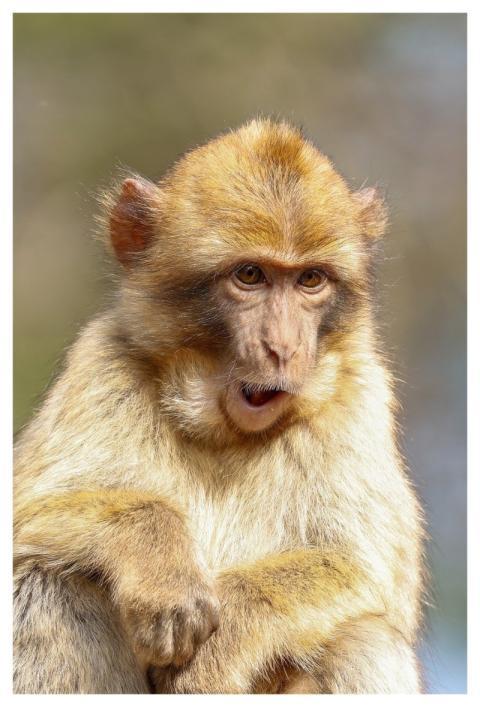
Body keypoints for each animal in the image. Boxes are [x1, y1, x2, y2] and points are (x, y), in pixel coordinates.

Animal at [13, 117, 426, 694]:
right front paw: (161, 561)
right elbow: (26, 512)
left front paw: (224, 639)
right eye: (249, 275)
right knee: (49, 585)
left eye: (310, 280)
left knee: (361, 637)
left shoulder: (360, 397)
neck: (222, 431)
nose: (284, 347)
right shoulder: (101, 364)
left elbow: (366, 570)